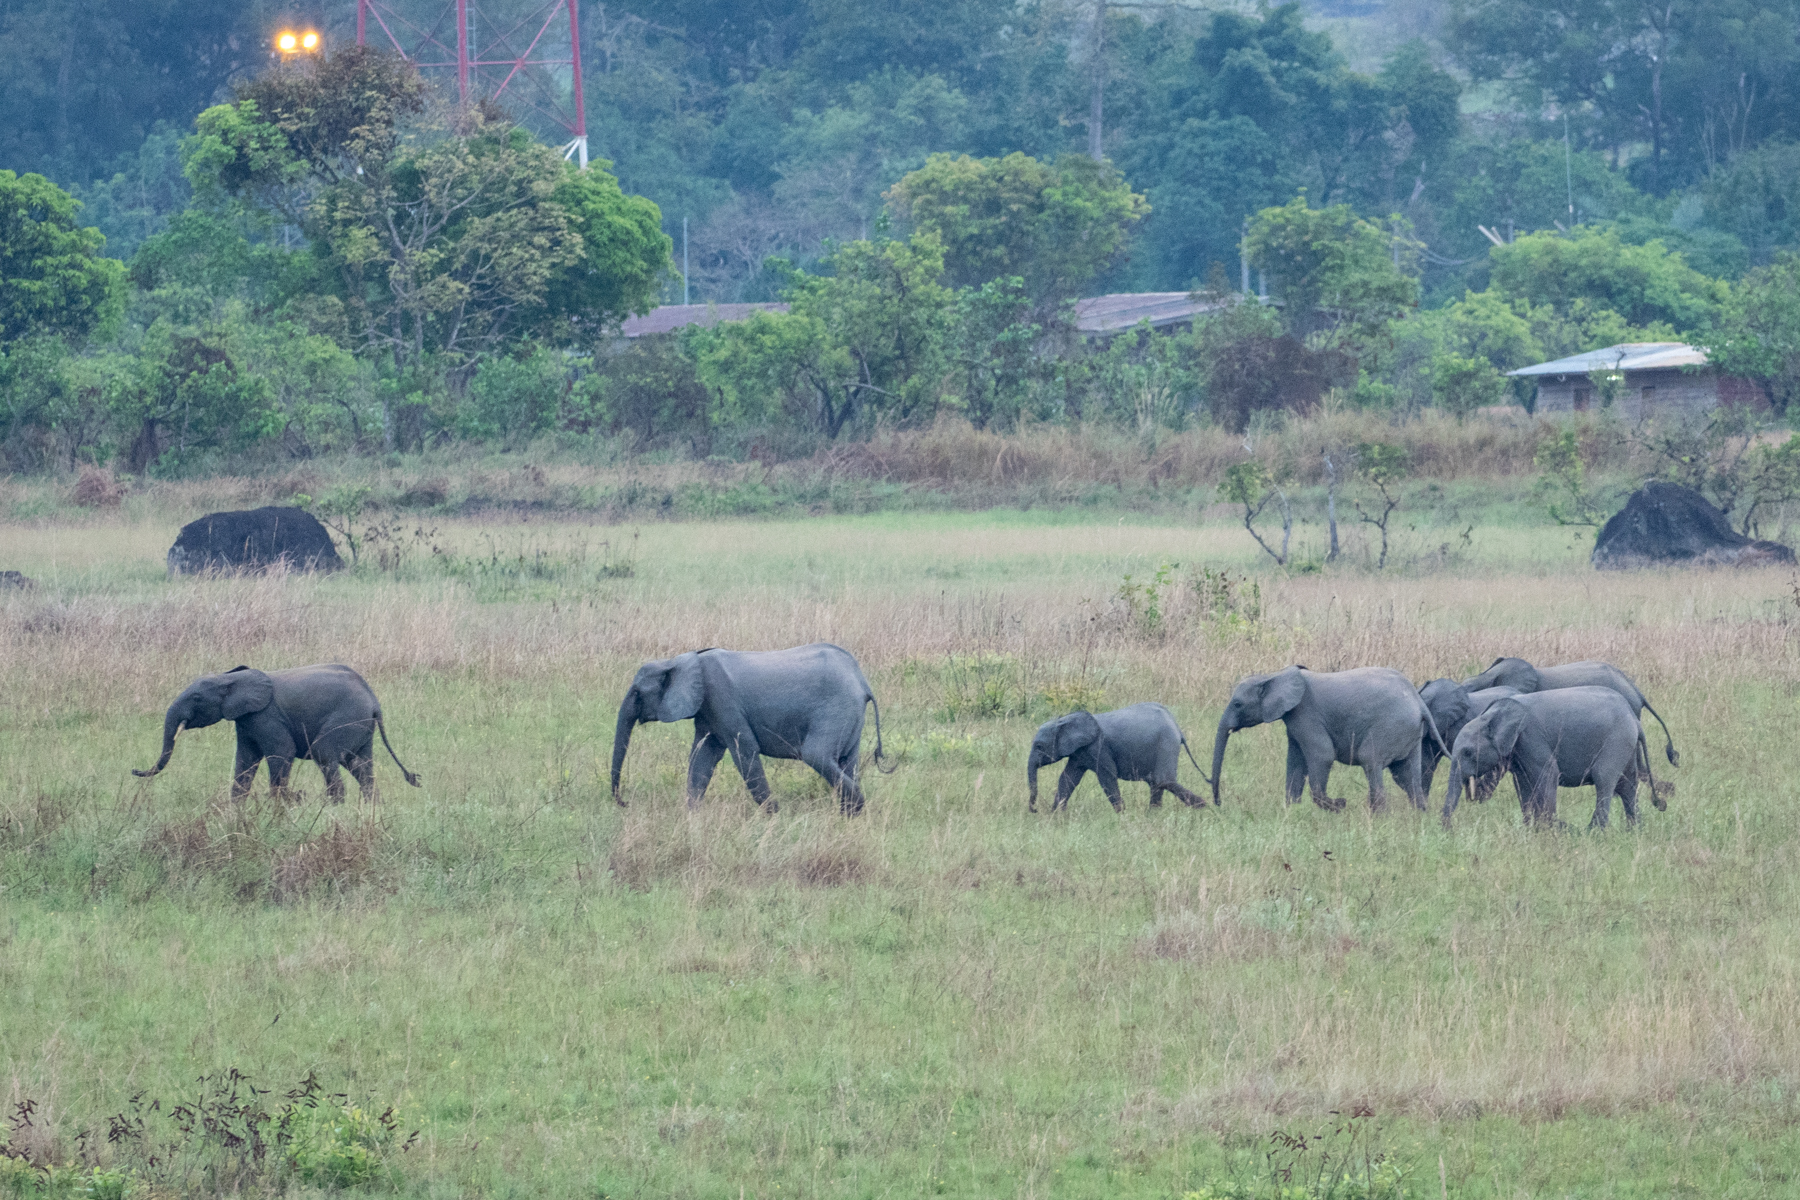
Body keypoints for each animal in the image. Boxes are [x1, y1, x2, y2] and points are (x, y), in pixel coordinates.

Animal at [133, 664, 420, 803]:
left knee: (326, 754)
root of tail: (374, 701)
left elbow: (282, 752)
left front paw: (280, 806)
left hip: (347, 716)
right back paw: (372, 806)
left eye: (196, 698)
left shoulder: (266, 716)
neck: (232, 679)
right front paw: (236, 810)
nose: (134, 770)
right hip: (361, 725)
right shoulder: (245, 721)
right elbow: (245, 761)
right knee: (360, 764)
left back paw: (334, 807)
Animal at [610, 643, 887, 815]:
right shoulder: (707, 709)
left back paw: (856, 807)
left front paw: (775, 815)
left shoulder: (721, 699)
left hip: (836, 708)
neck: (677, 661)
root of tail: (862, 682)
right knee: (847, 761)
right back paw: (848, 817)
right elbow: (702, 756)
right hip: (849, 716)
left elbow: (744, 751)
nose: (624, 803)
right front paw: (692, 816)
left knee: (816, 755)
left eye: (637, 693)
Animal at [1026, 703, 1210, 813]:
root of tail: (1178, 728)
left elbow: (1107, 777)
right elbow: (1067, 779)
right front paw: (1055, 815)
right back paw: (1154, 813)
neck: (1065, 719)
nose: (1034, 810)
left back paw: (1203, 806)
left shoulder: (1098, 748)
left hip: (1166, 743)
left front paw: (1121, 813)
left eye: (1039, 746)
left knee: (1162, 780)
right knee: (1157, 783)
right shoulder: (1079, 752)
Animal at [1211, 666, 1448, 812]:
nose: (1219, 804)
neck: (1275, 675)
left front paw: (1340, 805)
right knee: (1407, 776)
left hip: (1391, 725)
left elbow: (1322, 756)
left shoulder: (1306, 714)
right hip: (1410, 733)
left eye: (1237, 704)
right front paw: (1292, 812)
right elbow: (1295, 763)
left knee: (1370, 760)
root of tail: (1419, 703)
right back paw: (1418, 818)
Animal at [1442, 687, 1664, 831]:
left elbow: (1548, 775)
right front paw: (1531, 830)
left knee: (1605, 780)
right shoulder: (1518, 749)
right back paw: (1634, 832)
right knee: (1628, 786)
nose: (1448, 831)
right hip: (1627, 747)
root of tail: (1634, 718)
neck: (1492, 715)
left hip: (1616, 742)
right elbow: (1523, 785)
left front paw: (1548, 830)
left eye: (1468, 752)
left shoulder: (1531, 737)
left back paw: (1593, 833)